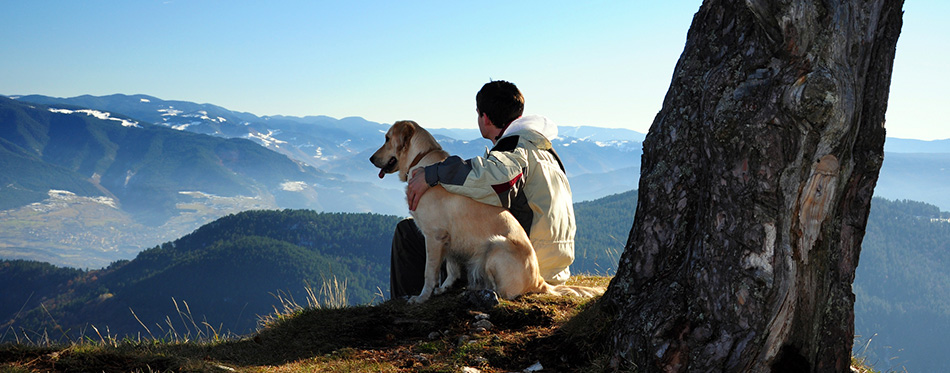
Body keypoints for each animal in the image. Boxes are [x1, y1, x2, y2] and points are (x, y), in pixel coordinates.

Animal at [370, 119, 604, 302]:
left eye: (387, 138)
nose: (371, 159)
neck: (420, 160)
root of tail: (539, 280)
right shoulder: (450, 239)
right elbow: (452, 268)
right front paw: (444, 288)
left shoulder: (434, 237)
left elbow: (429, 272)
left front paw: (421, 297)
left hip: (496, 246)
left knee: (506, 293)